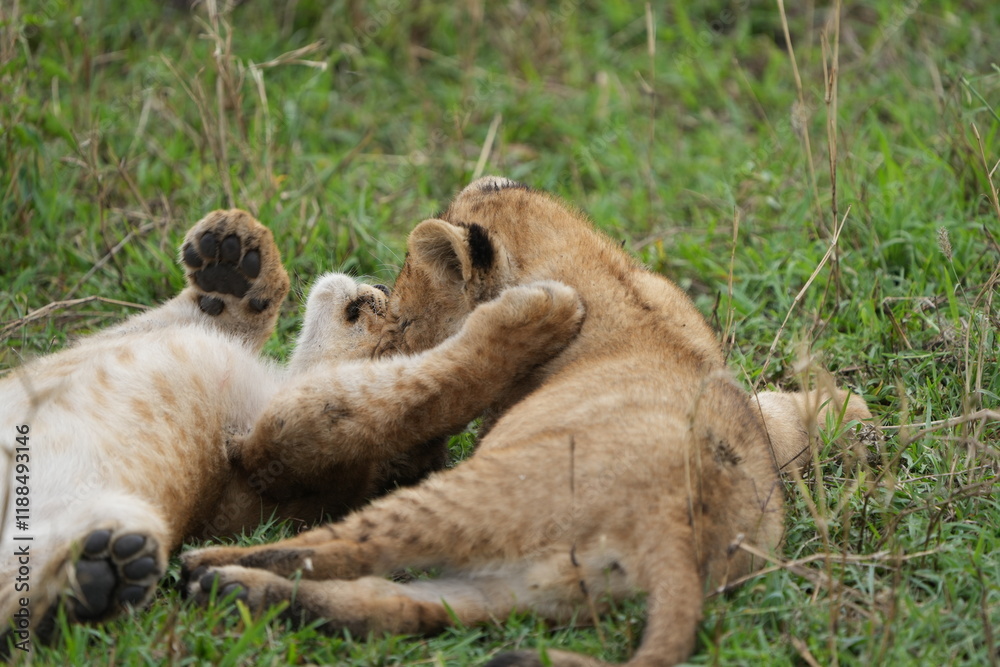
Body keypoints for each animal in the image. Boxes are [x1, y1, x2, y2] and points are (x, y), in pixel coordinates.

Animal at [0, 208, 584, 649]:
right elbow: (191, 319)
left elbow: (424, 392)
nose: (377, 287)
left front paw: (545, 315)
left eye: (397, 331)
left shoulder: (276, 444)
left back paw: (97, 579)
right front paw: (236, 260)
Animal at [180, 177, 874, 666]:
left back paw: (204, 567)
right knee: (393, 605)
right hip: (518, 589)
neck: (609, 274)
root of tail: (681, 537)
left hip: (481, 492)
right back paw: (236, 592)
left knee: (335, 547)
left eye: (402, 313)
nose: (373, 305)